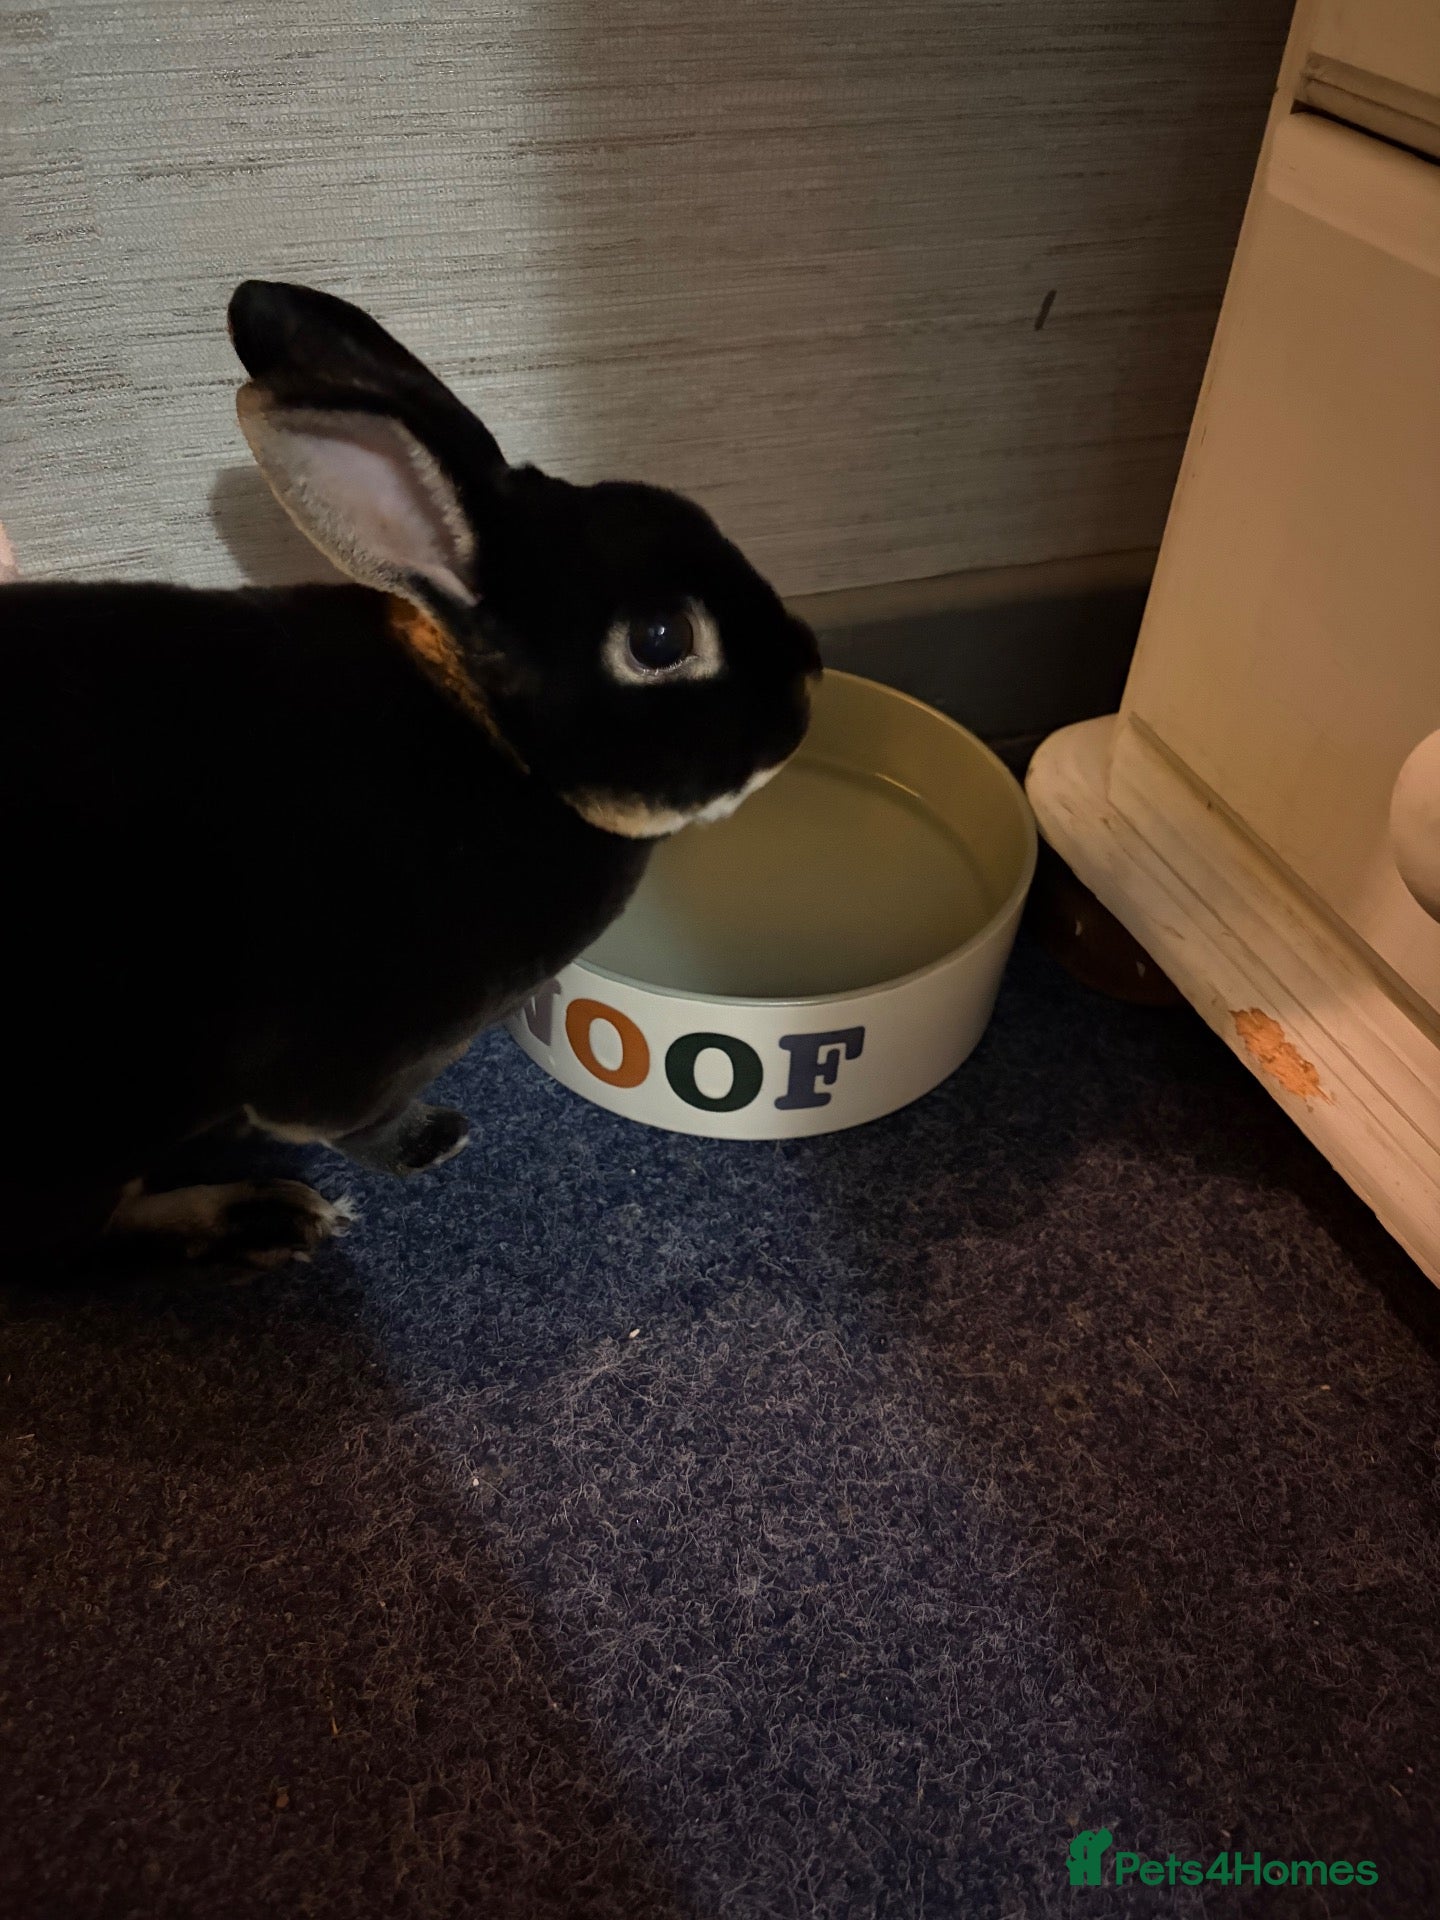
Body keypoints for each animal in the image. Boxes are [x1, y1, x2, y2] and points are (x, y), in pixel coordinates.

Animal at [1, 280, 820, 1266]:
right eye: (661, 640)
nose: (810, 672)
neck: (503, 748)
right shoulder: (348, 1061)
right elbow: (346, 1124)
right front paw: (435, 1140)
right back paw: (268, 1217)